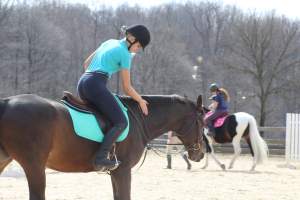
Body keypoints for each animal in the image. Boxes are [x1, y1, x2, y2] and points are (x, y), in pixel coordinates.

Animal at [0, 94, 204, 200]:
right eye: (201, 122)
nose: (200, 155)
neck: (139, 119)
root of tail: (7, 102)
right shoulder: (123, 171)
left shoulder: (115, 173)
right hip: (34, 166)